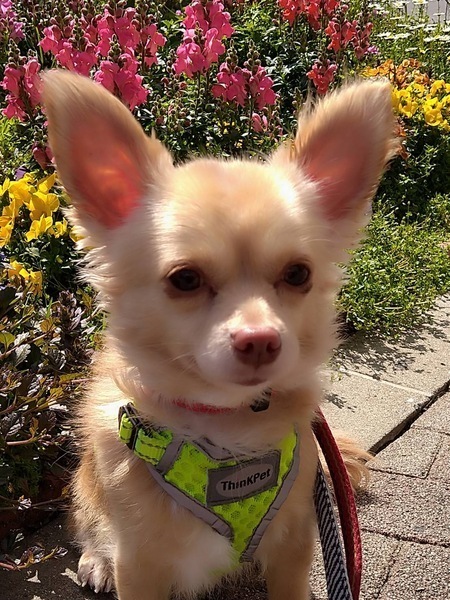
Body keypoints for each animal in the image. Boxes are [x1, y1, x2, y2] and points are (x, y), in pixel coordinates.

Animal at [43, 71, 397, 600]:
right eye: (185, 279)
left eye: (298, 274)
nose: (260, 340)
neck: (226, 425)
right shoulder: (139, 561)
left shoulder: (295, 543)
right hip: (89, 491)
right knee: (87, 522)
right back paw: (95, 560)